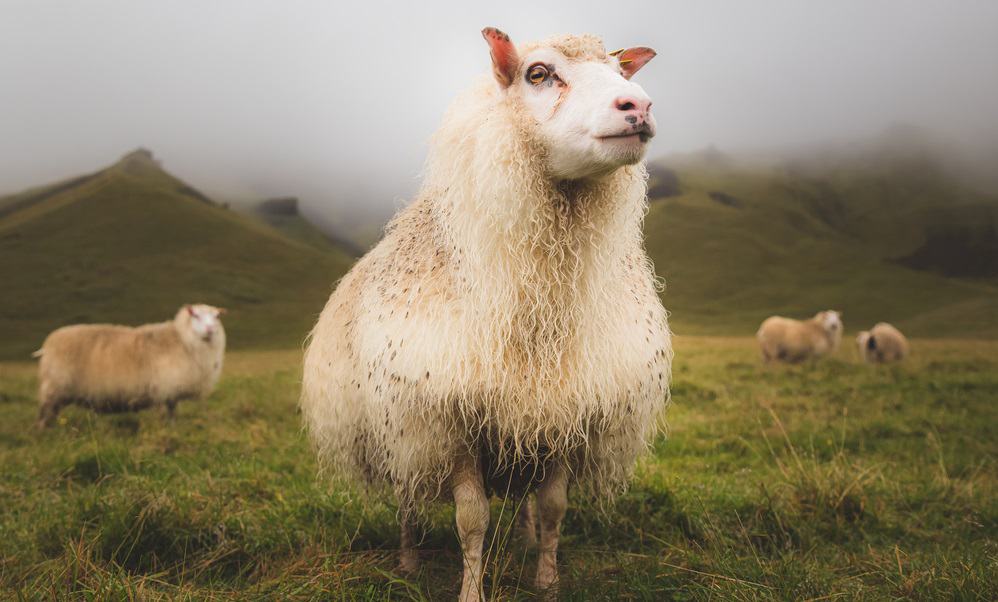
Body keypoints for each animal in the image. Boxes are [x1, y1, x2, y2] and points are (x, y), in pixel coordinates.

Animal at [34, 304, 226, 428]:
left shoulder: (170, 392)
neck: (182, 340)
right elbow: (167, 413)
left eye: (217, 316)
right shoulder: (163, 389)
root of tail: (48, 344)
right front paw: (167, 429)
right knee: (44, 413)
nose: (210, 329)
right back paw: (45, 432)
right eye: (196, 315)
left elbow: (173, 412)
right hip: (54, 386)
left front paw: (174, 428)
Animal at [301, 27, 671, 600]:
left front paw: (546, 580)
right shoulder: (450, 426)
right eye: (538, 73)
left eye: (620, 72)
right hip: (401, 433)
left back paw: (522, 540)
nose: (638, 106)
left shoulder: (563, 416)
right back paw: (408, 559)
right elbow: (471, 521)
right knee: (408, 498)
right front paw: (471, 590)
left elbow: (554, 508)